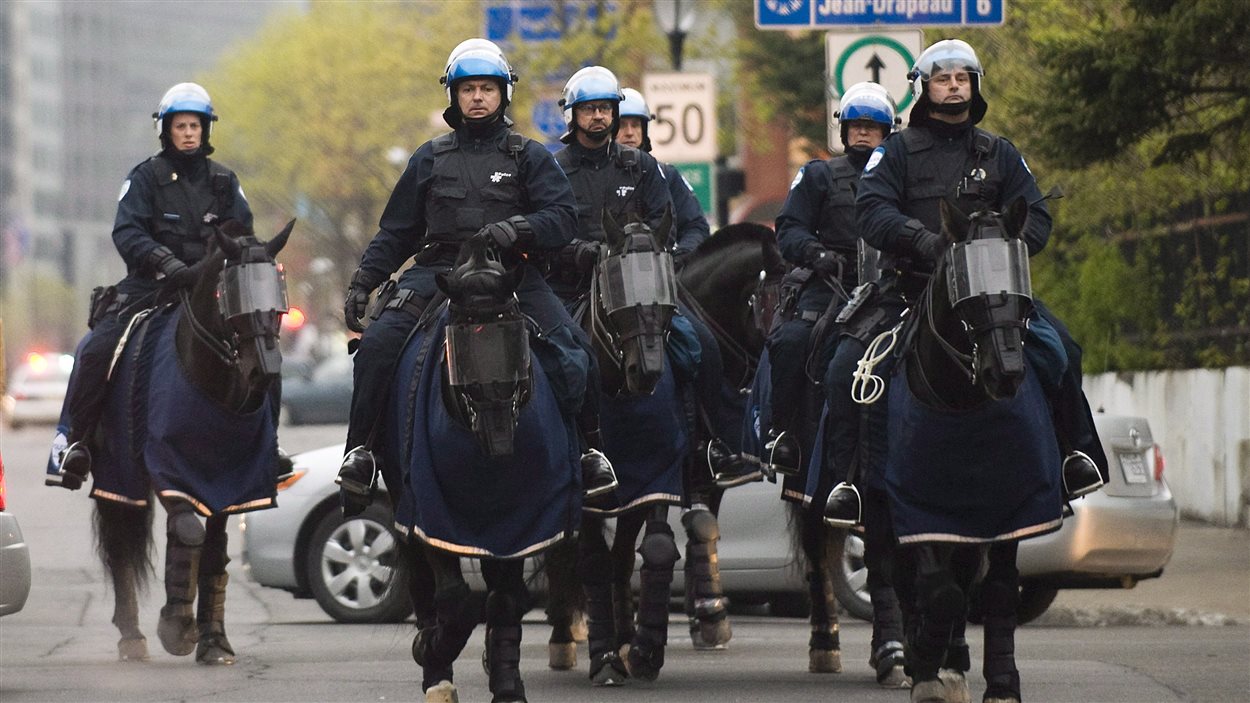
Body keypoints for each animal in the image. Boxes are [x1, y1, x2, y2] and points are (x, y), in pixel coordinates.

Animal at [86, 218, 295, 660]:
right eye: (230, 292)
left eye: (278, 289)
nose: (264, 370)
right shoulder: (166, 467)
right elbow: (189, 533)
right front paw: (177, 626)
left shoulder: (230, 484)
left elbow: (214, 550)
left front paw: (213, 640)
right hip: (115, 471)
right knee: (120, 544)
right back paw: (132, 636)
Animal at [385, 235, 580, 700]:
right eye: (460, 344)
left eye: (515, 336)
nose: (499, 438)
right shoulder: (430, 517)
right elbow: (455, 601)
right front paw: (431, 654)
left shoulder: (523, 525)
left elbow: (505, 600)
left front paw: (507, 682)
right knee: (424, 588)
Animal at [890, 197, 1065, 700]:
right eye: (963, 283)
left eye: (1019, 285)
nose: (1005, 372)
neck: (961, 403)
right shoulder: (917, 508)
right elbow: (939, 591)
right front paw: (924, 666)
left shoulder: (1014, 511)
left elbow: (998, 590)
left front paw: (1001, 681)